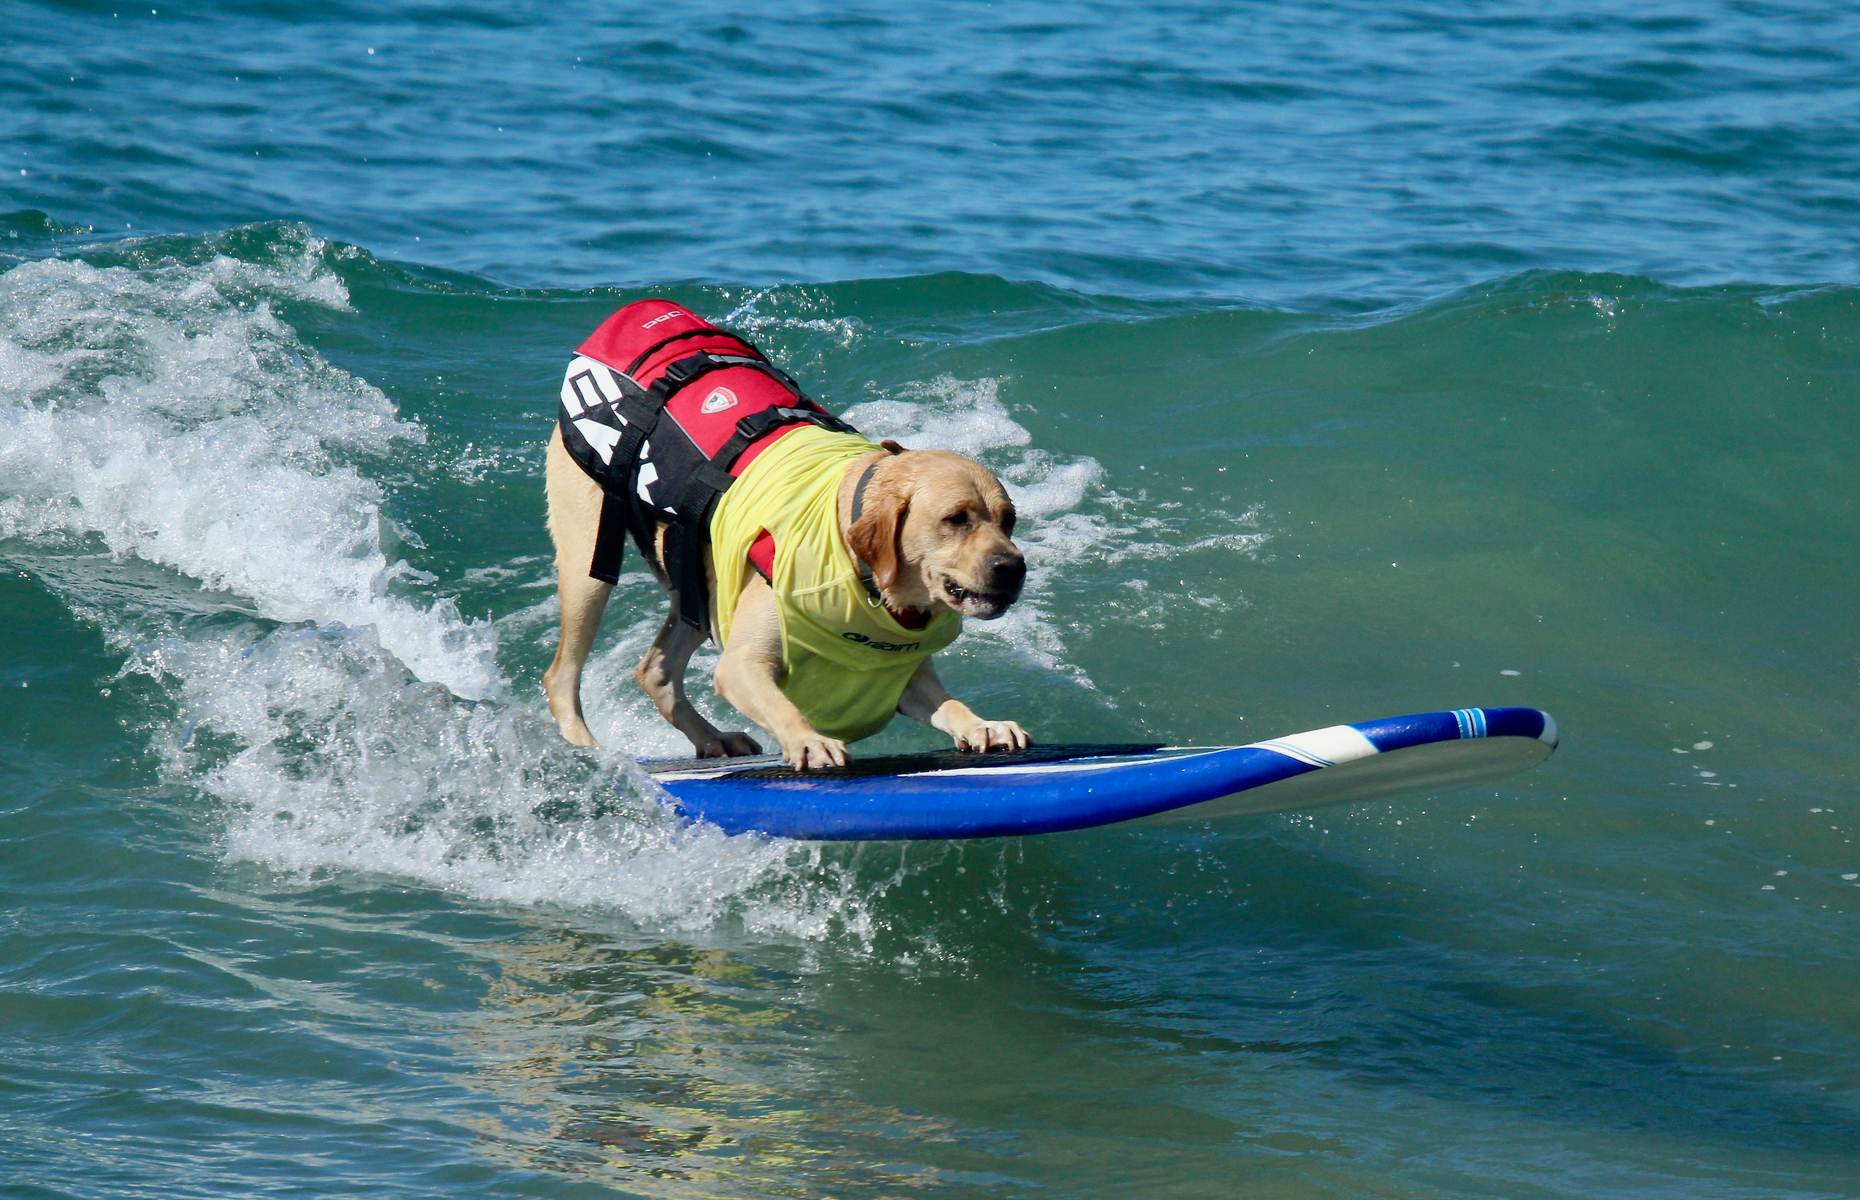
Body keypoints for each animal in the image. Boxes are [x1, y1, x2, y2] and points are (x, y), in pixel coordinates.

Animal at [543, 299, 1034, 766]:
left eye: (1009, 519)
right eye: (956, 518)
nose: (1013, 567)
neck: (861, 571)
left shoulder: (903, 680)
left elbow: (950, 705)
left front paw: (982, 726)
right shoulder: (741, 664)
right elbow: (782, 707)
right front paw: (809, 740)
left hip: (697, 584)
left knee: (655, 671)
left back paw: (712, 737)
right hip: (588, 569)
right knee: (562, 675)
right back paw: (589, 750)